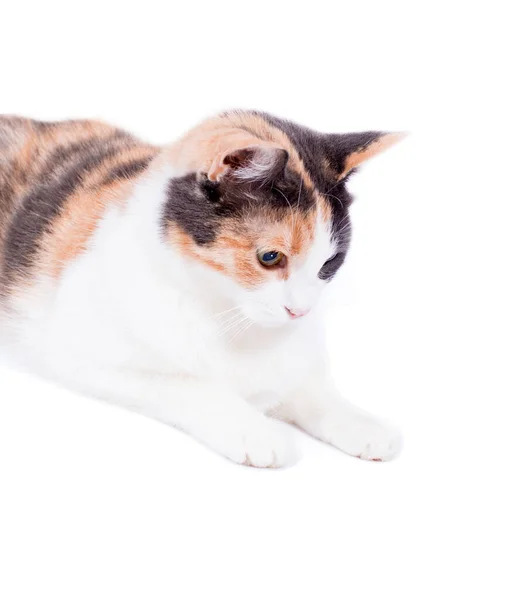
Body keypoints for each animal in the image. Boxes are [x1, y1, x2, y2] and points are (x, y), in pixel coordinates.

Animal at [0, 112, 406, 468]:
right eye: (270, 257)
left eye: (329, 262)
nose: (300, 311)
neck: (227, 313)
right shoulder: (78, 350)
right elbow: (191, 384)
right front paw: (255, 431)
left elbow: (307, 385)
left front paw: (359, 422)